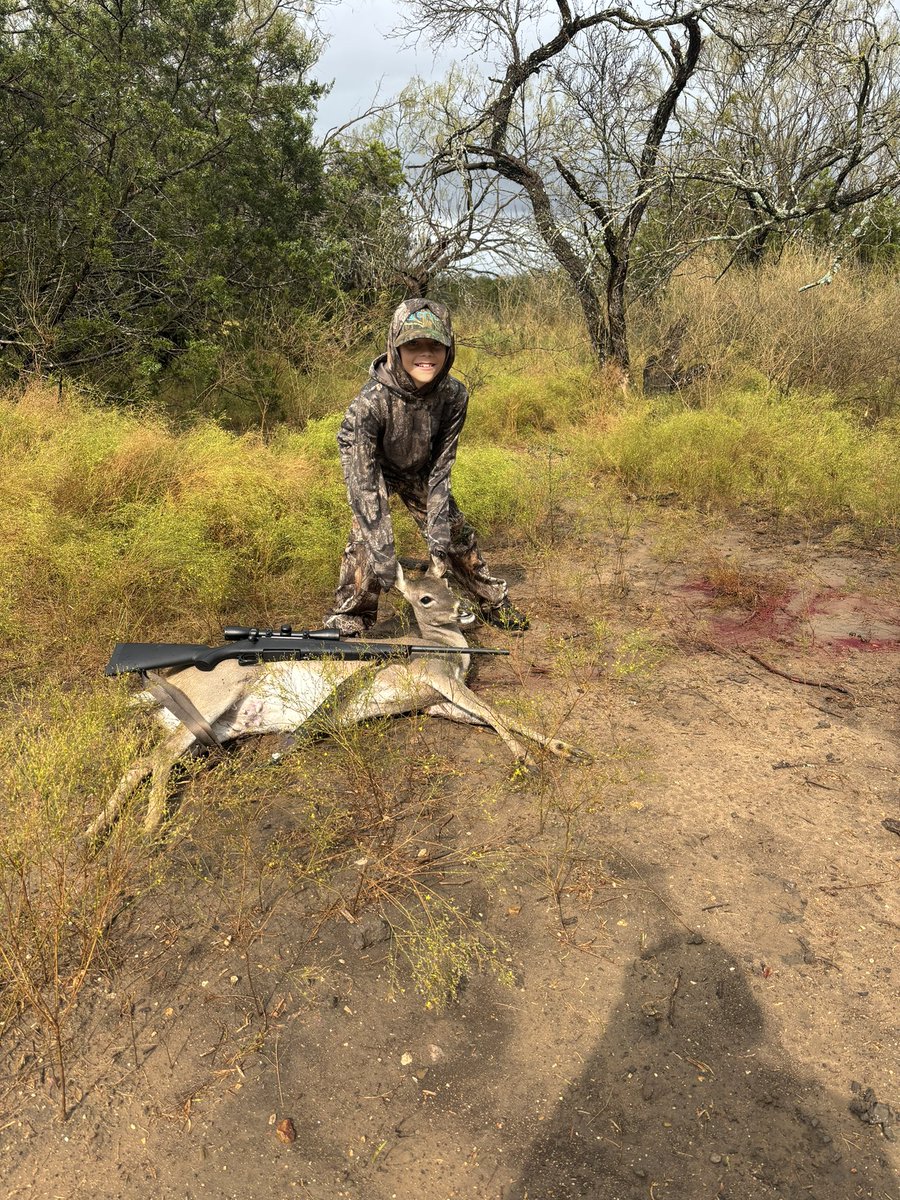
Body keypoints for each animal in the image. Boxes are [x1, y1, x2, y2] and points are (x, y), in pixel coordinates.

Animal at [89, 563, 591, 837]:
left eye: (450, 586)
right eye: (426, 597)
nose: (466, 611)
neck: (445, 648)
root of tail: (161, 681)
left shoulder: (435, 702)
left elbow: (489, 718)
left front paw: (568, 748)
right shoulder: (439, 682)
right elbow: (496, 712)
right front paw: (527, 758)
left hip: (211, 727)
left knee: (143, 761)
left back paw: (96, 832)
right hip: (213, 702)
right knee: (155, 759)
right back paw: (149, 826)